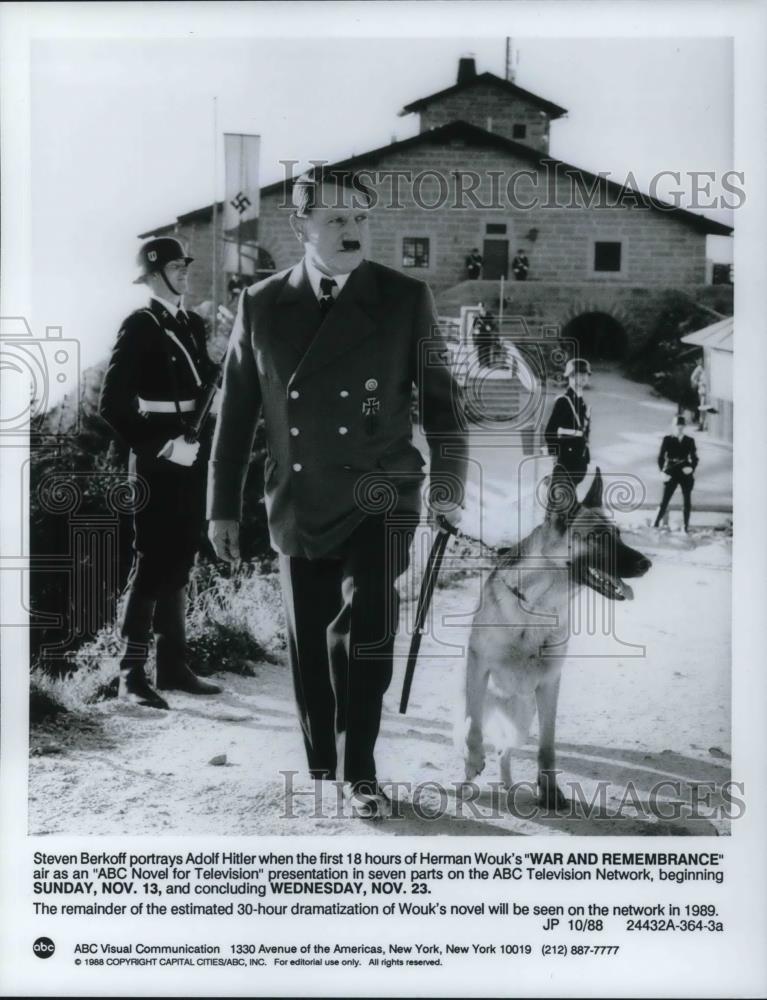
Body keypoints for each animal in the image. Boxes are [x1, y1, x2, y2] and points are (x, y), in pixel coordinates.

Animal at [462, 464, 656, 808]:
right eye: (598, 537)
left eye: (618, 536)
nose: (647, 564)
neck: (538, 603)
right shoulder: (478, 665)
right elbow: (473, 728)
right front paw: (472, 762)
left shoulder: (550, 684)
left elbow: (548, 746)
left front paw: (550, 790)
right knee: (480, 731)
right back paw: (469, 782)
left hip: (521, 723)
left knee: (503, 751)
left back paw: (508, 785)